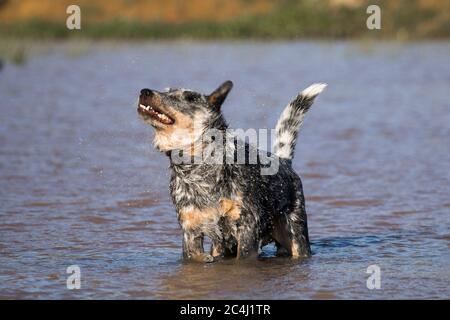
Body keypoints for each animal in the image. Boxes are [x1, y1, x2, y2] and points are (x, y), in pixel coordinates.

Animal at [137, 80, 326, 262]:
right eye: (166, 90)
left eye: (190, 97)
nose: (144, 91)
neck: (197, 170)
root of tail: (284, 160)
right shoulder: (190, 231)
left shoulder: (247, 228)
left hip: (296, 237)